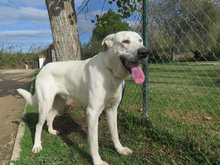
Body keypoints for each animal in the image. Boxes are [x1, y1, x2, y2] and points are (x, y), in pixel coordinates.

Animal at [17, 31, 148, 165]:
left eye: (140, 40)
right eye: (125, 41)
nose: (144, 52)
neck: (110, 72)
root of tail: (43, 69)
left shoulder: (112, 110)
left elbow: (115, 134)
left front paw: (120, 149)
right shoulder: (93, 112)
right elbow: (94, 143)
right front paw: (98, 161)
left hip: (60, 103)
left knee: (50, 117)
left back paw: (52, 131)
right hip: (45, 104)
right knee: (38, 125)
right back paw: (37, 145)